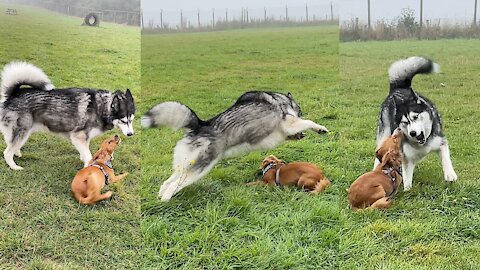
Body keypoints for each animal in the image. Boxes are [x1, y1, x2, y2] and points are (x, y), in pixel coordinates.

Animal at [0, 62, 135, 170]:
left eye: (131, 120)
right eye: (123, 121)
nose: (130, 134)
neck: (101, 107)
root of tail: (13, 94)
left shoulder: (83, 138)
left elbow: (85, 152)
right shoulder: (78, 136)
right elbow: (88, 155)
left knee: (10, 143)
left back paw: (17, 153)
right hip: (23, 131)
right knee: (7, 152)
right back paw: (14, 167)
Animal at [142, 92, 330, 201]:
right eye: (300, 111)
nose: (302, 136)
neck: (281, 101)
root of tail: (201, 125)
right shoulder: (289, 124)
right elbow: (308, 122)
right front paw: (321, 128)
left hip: (184, 167)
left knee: (167, 182)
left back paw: (160, 196)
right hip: (198, 169)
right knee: (173, 185)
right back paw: (167, 200)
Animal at [376, 56, 458, 191]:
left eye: (415, 116)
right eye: (404, 122)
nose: (413, 133)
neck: (422, 144)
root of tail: (400, 88)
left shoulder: (440, 141)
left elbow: (445, 156)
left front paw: (450, 174)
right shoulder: (406, 158)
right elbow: (407, 179)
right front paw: (407, 190)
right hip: (384, 134)